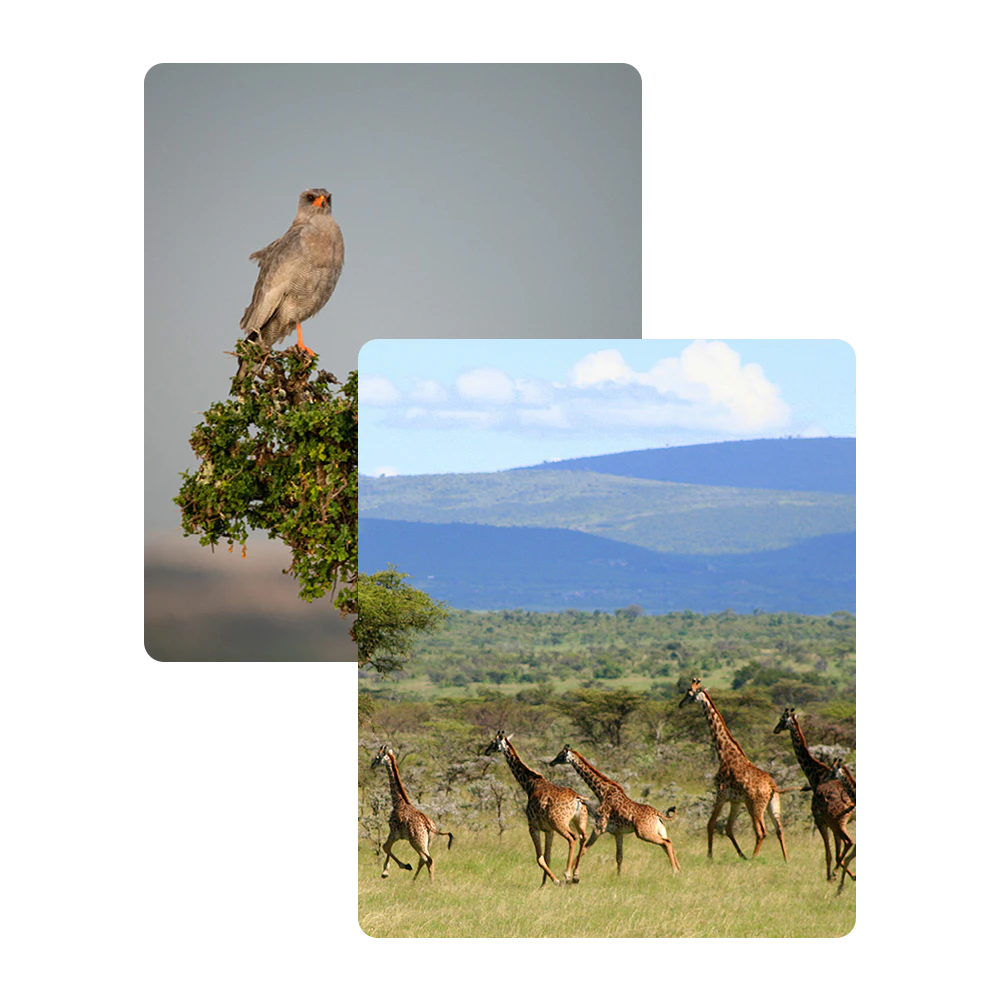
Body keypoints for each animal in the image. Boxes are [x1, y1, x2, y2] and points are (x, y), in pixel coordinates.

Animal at [370, 745, 453, 881]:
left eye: (377, 757)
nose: (372, 765)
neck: (399, 802)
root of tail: (429, 826)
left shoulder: (394, 832)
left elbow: (385, 847)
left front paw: (389, 871)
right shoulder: (397, 835)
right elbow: (387, 847)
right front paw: (386, 872)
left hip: (416, 841)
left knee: (427, 859)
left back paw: (427, 882)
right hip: (427, 842)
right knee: (425, 859)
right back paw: (417, 881)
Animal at [483, 730, 589, 886]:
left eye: (493, 742)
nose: (486, 751)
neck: (529, 785)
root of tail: (577, 798)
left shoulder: (533, 825)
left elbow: (539, 858)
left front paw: (555, 880)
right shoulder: (548, 830)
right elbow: (547, 856)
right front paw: (544, 884)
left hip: (559, 822)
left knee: (572, 838)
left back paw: (567, 875)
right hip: (580, 821)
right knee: (583, 837)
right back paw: (576, 876)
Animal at [549, 744, 680, 875]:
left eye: (561, 755)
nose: (552, 762)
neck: (602, 793)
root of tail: (657, 814)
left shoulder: (599, 827)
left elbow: (584, 849)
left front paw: (569, 871)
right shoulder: (618, 833)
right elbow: (619, 857)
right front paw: (619, 876)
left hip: (643, 833)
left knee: (666, 843)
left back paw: (674, 871)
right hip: (659, 830)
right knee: (669, 844)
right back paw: (679, 870)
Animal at [679, 678, 788, 861]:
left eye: (689, 693)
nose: (680, 704)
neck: (724, 753)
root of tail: (772, 787)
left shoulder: (721, 793)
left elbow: (710, 824)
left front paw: (710, 855)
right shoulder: (735, 800)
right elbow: (728, 828)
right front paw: (740, 854)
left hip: (754, 806)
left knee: (761, 832)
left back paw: (753, 858)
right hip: (773, 805)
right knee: (779, 829)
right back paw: (785, 860)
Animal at [774, 708, 855, 882]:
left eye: (781, 719)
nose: (775, 729)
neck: (815, 774)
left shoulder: (820, 820)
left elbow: (830, 853)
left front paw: (832, 876)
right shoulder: (828, 822)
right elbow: (836, 852)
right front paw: (838, 875)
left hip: (838, 821)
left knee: (848, 842)